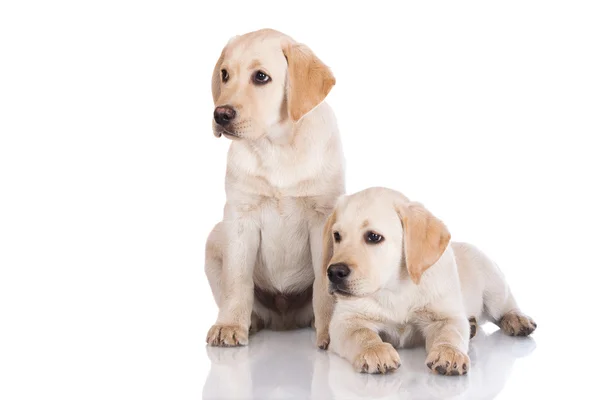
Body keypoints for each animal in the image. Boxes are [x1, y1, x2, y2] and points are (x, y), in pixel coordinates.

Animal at [206, 28, 344, 346]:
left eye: (261, 77)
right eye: (225, 74)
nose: (220, 115)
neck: (276, 147)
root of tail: (284, 320)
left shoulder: (322, 217)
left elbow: (323, 285)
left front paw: (328, 331)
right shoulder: (240, 217)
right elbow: (237, 279)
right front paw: (230, 325)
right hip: (215, 237)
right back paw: (249, 321)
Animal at [322, 187, 536, 376]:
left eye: (373, 237)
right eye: (337, 236)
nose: (334, 272)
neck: (396, 288)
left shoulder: (444, 315)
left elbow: (449, 333)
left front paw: (449, 353)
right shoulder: (345, 319)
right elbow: (361, 333)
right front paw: (375, 349)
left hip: (493, 283)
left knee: (505, 305)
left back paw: (517, 319)